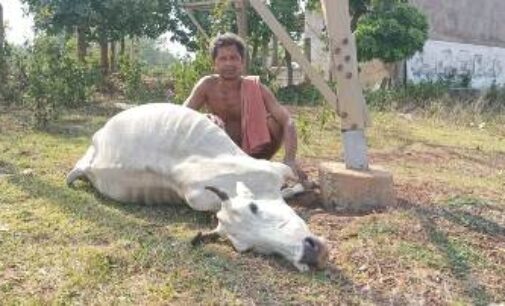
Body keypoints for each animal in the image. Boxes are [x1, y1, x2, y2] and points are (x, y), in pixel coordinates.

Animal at [66, 103, 326, 272]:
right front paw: (303, 188)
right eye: (247, 248)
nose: (309, 252)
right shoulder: (270, 172)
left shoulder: (275, 172)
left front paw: (307, 186)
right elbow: (290, 186)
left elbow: (292, 179)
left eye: (253, 207)